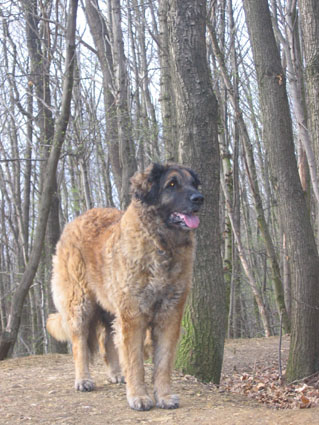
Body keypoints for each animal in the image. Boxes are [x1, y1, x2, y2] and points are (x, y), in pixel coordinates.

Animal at [46, 162, 204, 408]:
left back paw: (116, 374)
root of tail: (74, 221)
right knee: (79, 344)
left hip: (110, 307)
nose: (199, 198)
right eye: (172, 184)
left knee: (107, 340)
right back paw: (83, 379)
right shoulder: (133, 316)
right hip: (79, 303)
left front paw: (164, 396)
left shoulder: (169, 315)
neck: (161, 245)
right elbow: (135, 361)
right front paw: (139, 396)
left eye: (194, 184)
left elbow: (163, 362)